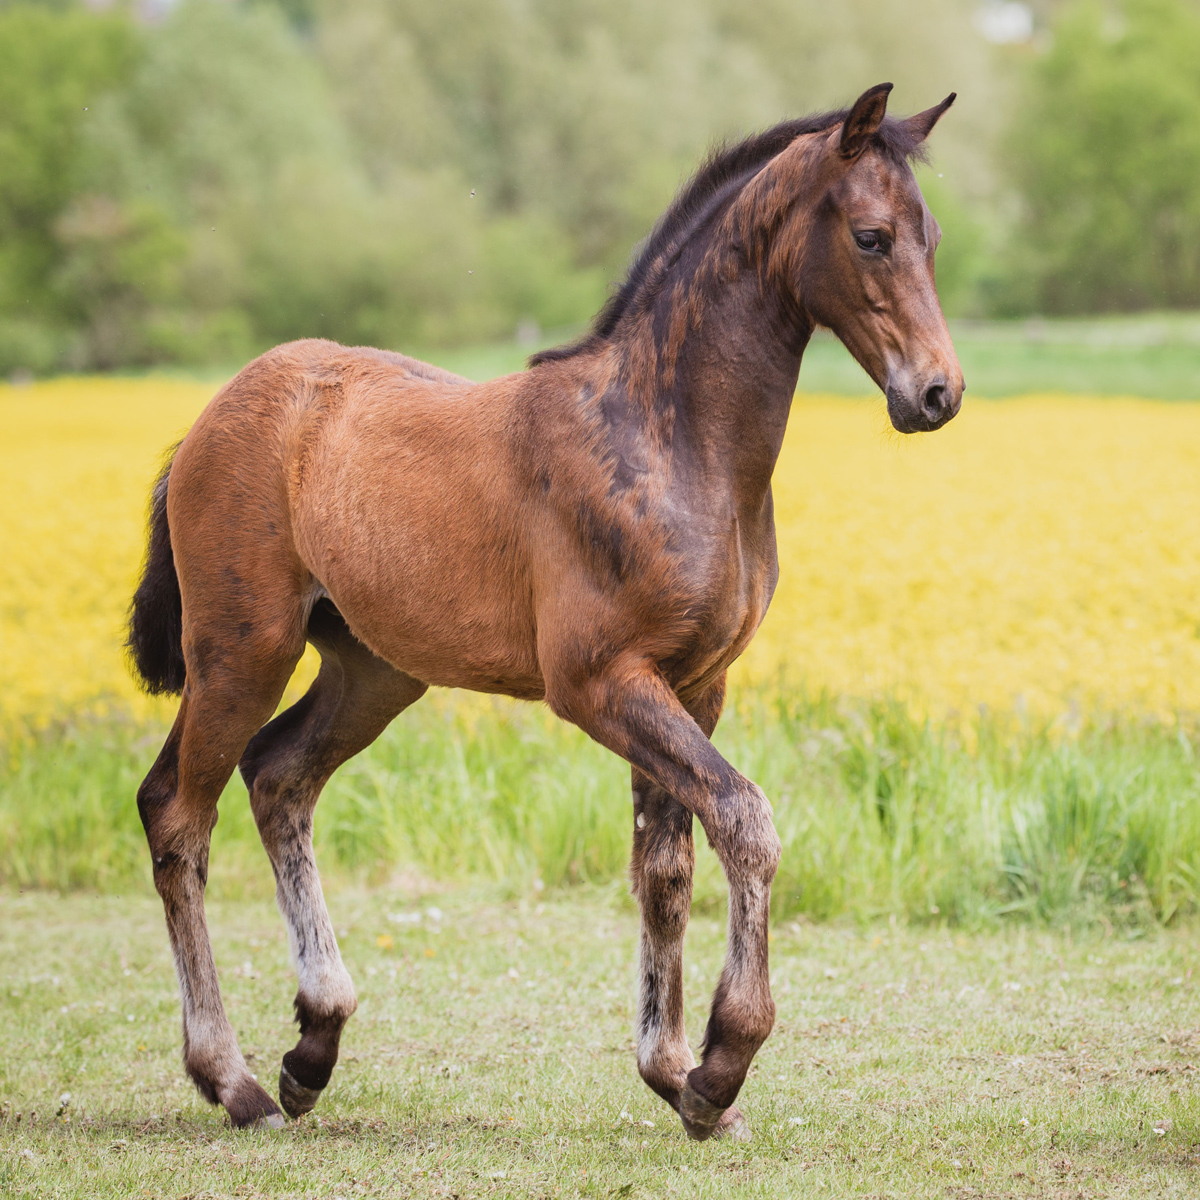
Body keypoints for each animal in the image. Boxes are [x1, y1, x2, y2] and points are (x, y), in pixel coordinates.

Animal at [124, 82, 964, 1132]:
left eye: (932, 236)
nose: (938, 393)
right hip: (243, 650)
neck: (668, 436)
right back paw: (232, 1079)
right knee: (176, 813)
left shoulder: (697, 684)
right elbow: (745, 821)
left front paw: (675, 1074)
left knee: (278, 777)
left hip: (373, 671)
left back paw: (312, 1046)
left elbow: (665, 868)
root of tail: (210, 414)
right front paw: (724, 1058)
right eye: (871, 237)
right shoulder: (599, 682)